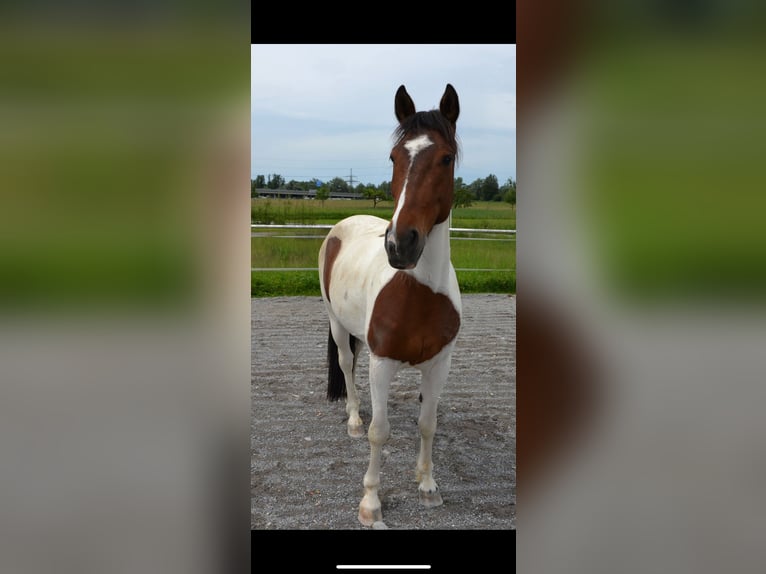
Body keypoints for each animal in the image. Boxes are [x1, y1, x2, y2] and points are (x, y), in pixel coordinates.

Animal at [318, 84, 462, 526]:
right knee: (347, 364)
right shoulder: (382, 363)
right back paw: (352, 418)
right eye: (394, 157)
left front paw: (428, 486)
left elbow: (428, 423)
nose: (400, 244)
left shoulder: (439, 364)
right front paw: (371, 503)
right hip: (336, 323)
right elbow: (378, 433)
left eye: (446, 157)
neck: (417, 292)